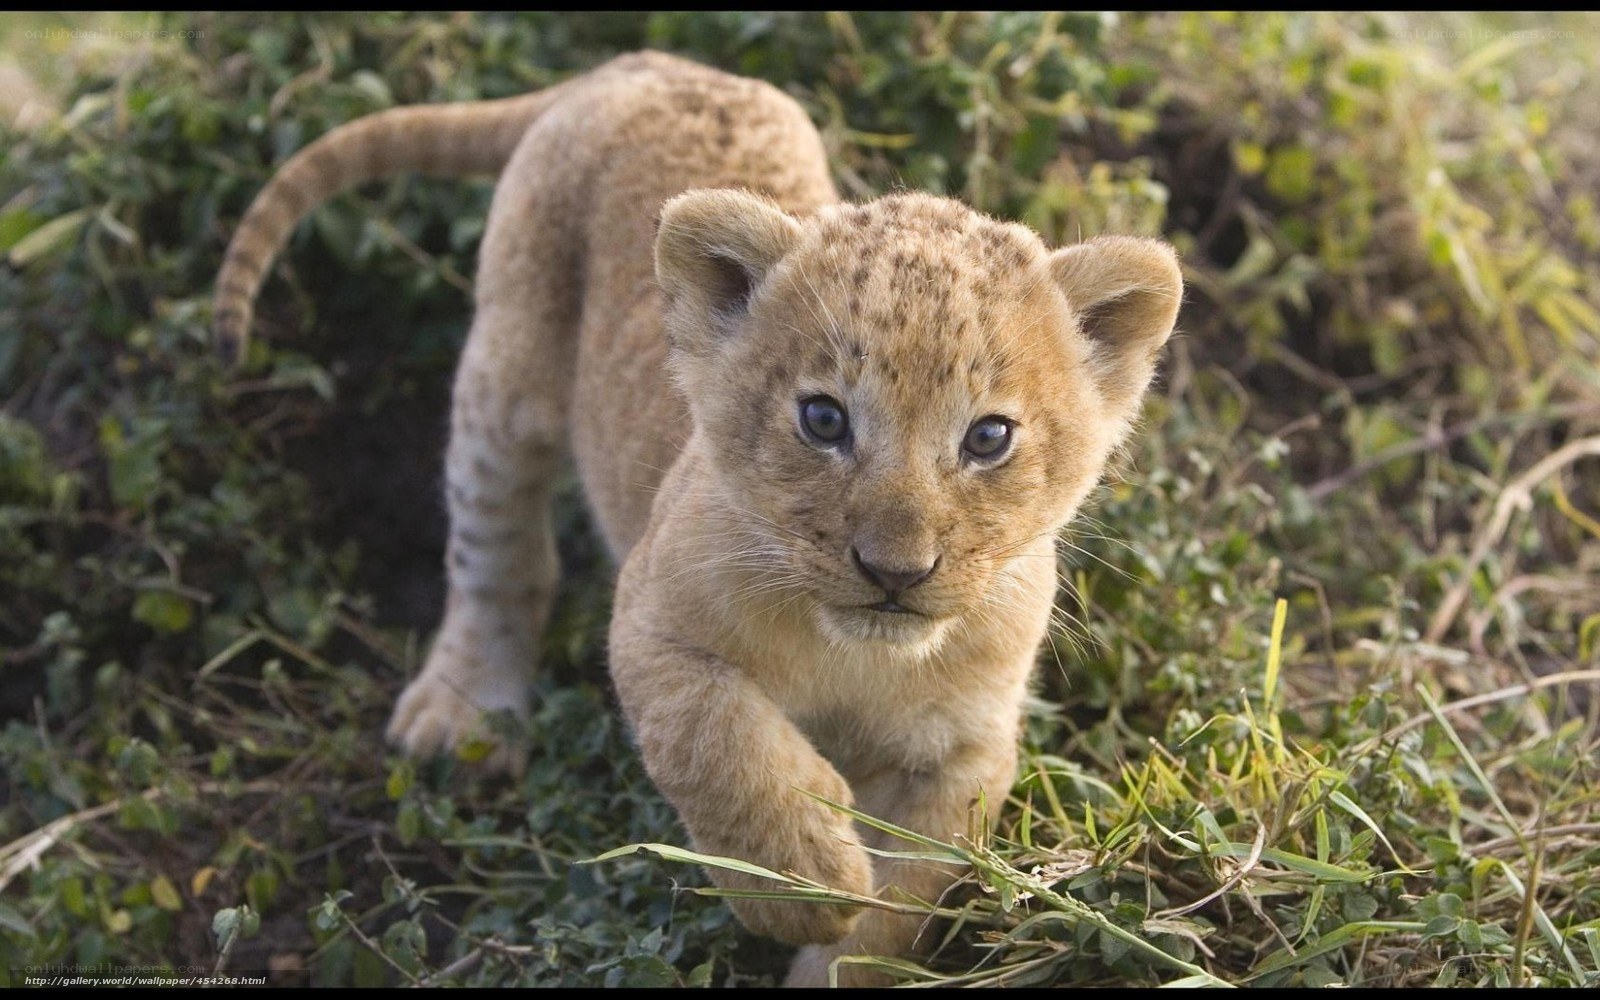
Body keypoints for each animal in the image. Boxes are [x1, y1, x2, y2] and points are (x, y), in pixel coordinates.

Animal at [214, 50, 1182, 987]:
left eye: (988, 437)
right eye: (823, 419)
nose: (894, 572)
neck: (859, 659)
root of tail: (647, 64)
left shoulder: (964, 749)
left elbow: (901, 907)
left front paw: (837, 941)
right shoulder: (652, 622)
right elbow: (719, 743)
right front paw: (803, 881)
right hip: (506, 376)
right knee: (495, 552)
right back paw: (462, 712)